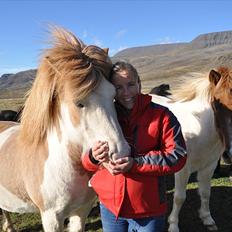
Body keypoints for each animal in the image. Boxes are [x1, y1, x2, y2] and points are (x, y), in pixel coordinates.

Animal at [152, 66, 232, 231]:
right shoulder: (183, 169)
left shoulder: (209, 166)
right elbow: (179, 197)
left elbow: (205, 192)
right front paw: (173, 225)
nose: (229, 154)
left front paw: (207, 218)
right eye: (217, 104)